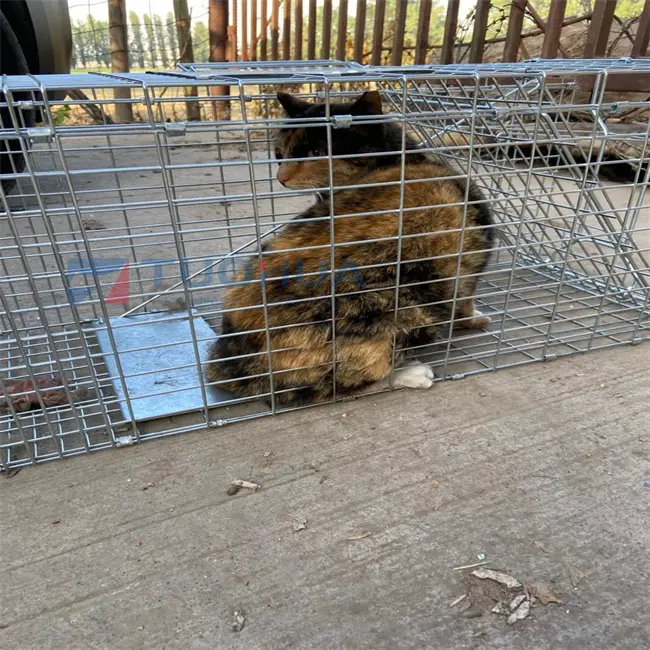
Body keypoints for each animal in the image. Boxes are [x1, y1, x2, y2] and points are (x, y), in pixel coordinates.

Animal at [205, 90, 494, 404]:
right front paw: (475, 319)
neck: (399, 162)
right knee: (341, 385)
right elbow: (466, 300)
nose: (281, 176)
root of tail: (228, 362)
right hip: (401, 301)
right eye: (279, 155)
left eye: (316, 153)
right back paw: (409, 373)